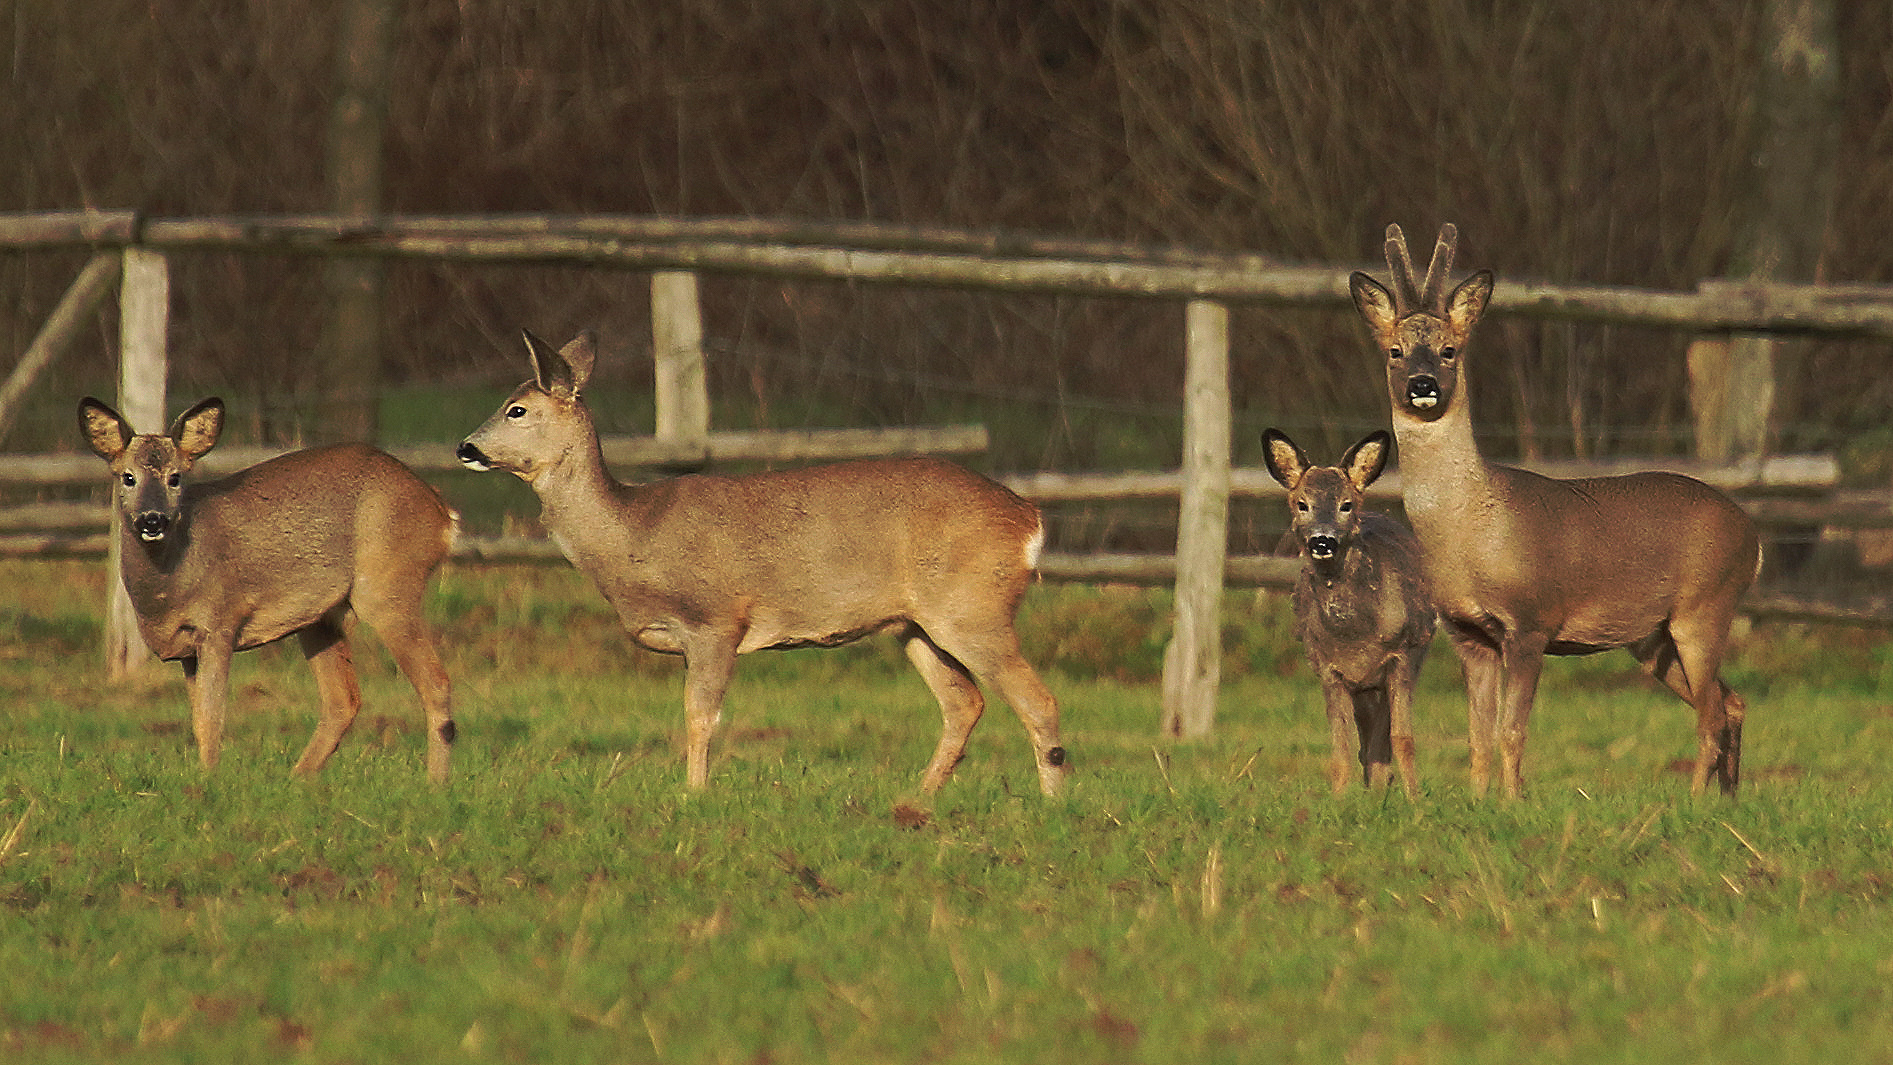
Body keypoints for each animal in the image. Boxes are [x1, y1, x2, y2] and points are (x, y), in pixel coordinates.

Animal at [76, 395, 461, 779]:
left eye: (176, 477)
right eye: (128, 477)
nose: (152, 520)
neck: (167, 590)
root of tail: (442, 511)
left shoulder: (220, 622)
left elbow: (211, 718)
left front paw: (209, 780)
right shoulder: (187, 649)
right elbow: (197, 721)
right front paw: (204, 775)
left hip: (387, 586)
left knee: (436, 681)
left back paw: (435, 783)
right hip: (320, 617)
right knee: (343, 700)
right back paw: (298, 779)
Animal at [456, 329, 1075, 794]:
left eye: (516, 410)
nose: (465, 448)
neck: (631, 532)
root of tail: (1030, 517)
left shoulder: (714, 620)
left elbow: (701, 717)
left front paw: (694, 794)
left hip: (973, 607)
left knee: (1038, 700)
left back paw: (1051, 805)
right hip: (914, 623)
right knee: (964, 703)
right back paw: (918, 800)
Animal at [1264, 429, 1423, 794]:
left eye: (1346, 505)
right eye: (1302, 504)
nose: (1322, 542)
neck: (1356, 636)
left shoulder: (1401, 657)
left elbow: (1402, 739)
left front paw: (1414, 799)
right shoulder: (1328, 669)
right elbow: (1341, 747)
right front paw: (1339, 798)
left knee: (1381, 738)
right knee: (1366, 742)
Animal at [1347, 221, 1756, 794]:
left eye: (1450, 350)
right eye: (1394, 351)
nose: (1422, 386)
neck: (1471, 531)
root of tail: (1753, 534)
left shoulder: (1531, 620)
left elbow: (1511, 732)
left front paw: (1512, 803)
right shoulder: (1468, 633)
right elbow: (1477, 737)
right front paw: (1477, 803)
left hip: (1705, 607)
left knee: (1711, 716)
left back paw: (1695, 801)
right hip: (1652, 639)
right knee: (1730, 702)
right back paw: (1728, 800)